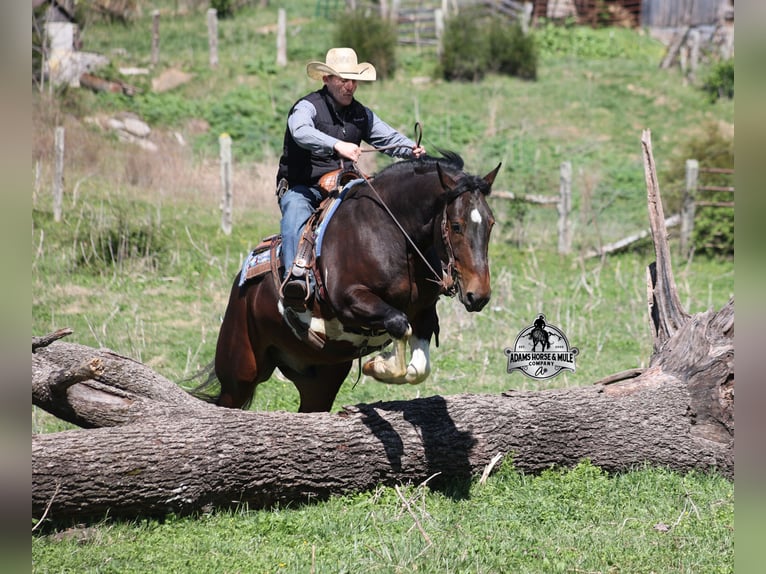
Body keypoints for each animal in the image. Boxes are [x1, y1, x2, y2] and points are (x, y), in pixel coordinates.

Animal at [208, 153, 501, 412]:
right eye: (456, 225)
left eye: (491, 223)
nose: (479, 295)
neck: (392, 232)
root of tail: (242, 286)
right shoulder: (350, 300)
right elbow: (399, 323)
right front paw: (378, 365)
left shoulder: (425, 312)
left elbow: (419, 368)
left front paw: (381, 365)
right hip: (240, 369)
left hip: (321, 379)